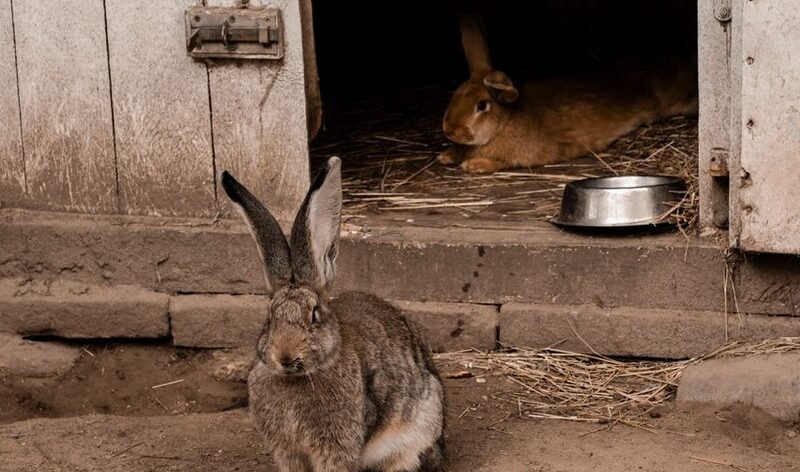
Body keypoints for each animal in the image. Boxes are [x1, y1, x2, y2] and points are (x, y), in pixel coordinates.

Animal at [220, 156, 445, 472]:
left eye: (314, 314)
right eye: (270, 318)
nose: (285, 356)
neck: (301, 376)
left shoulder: (336, 447)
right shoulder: (288, 453)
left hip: (414, 436)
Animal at [438, 11, 698, 174]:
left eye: (481, 105)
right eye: (455, 95)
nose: (449, 130)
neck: (505, 124)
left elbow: (502, 162)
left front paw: (474, 165)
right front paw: (446, 156)